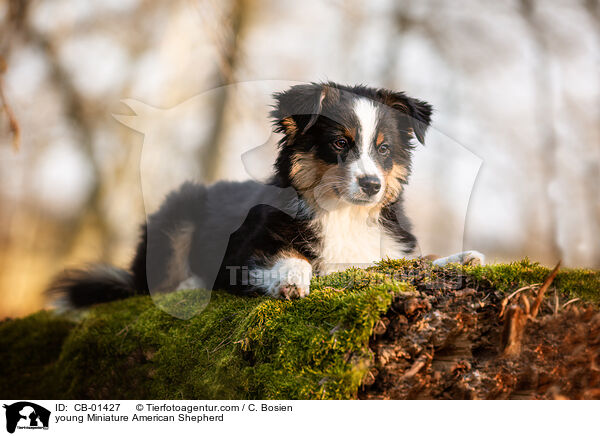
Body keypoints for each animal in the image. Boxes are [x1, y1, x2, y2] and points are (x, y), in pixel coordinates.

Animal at [50, 82, 482, 306]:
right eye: (340, 143)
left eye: (384, 148)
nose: (372, 186)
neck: (341, 212)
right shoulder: (243, 249)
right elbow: (292, 259)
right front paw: (292, 281)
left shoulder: (386, 251)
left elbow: (420, 260)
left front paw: (461, 258)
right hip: (178, 212)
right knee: (151, 282)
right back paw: (188, 284)